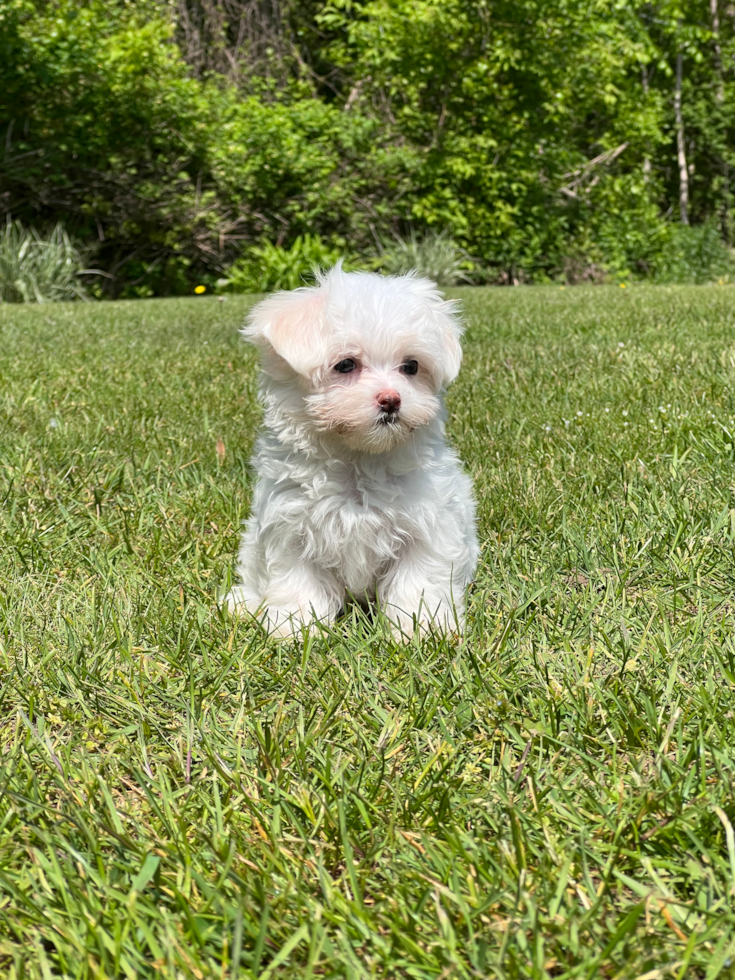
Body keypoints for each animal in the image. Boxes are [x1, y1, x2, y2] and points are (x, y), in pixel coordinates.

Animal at [227, 264, 480, 640]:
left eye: (411, 367)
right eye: (346, 365)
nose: (391, 400)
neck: (359, 459)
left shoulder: (428, 526)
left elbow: (418, 581)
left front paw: (422, 630)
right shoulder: (291, 527)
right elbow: (298, 581)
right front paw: (295, 629)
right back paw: (243, 603)